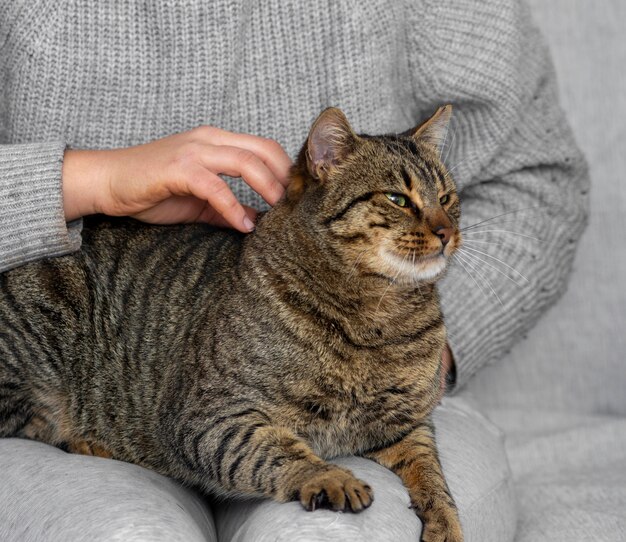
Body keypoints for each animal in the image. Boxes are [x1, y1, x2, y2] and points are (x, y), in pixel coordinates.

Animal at [1, 106, 464, 542]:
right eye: (397, 198)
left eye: (446, 198)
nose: (447, 231)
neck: (379, 318)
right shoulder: (208, 416)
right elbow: (269, 448)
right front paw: (326, 475)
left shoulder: (406, 425)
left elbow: (431, 470)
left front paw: (445, 519)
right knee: (30, 425)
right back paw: (92, 441)